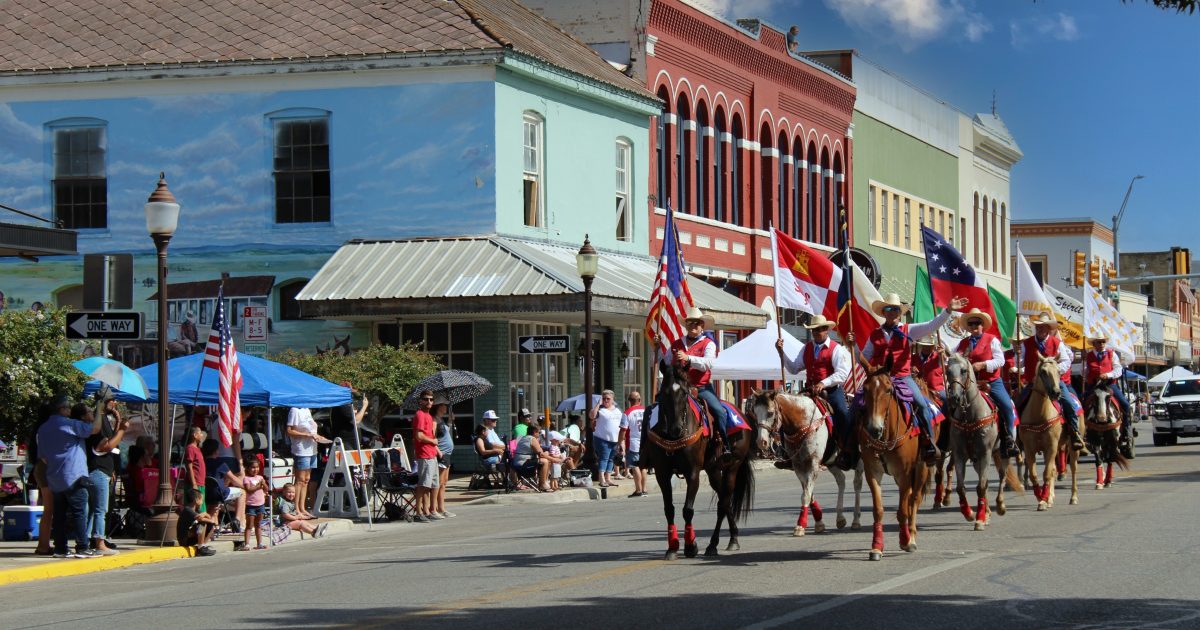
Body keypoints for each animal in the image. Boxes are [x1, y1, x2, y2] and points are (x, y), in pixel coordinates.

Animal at [643, 357, 753, 559]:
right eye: (663, 393)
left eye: (684, 393)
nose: (676, 429)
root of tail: (741, 412)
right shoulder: (662, 474)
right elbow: (669, 509)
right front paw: (672, 547)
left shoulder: (692, 472)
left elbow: (688, 509)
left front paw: (690, 546)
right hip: (713, 470)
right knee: (725, 501)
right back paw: (731, 538)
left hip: (732, 467)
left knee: (723, 503)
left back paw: (714, 544)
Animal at [748, 388, 864, 535]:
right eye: (754, 412)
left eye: (770, 413)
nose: (761, 442)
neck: (803, 422)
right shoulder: (799, 465)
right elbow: (808, 492)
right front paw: (819, 522)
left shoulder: (813, 463)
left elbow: (806, 495)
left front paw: (800, 525)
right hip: (831, 462)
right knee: (841, 480)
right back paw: (840, 518)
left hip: (859, 460)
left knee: (857, 484)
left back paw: (856, 520)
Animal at [859, 362, 931, 559]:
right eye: (865, 389)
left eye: (888, 390)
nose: (874, 428)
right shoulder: (872, 472)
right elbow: (878, 510)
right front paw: (876, 547)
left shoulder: (904, 473)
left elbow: (902, 510)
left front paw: (905, 541)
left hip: (922, 468)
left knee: (914, 499)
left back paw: (911, 535)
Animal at [945, 350, 1022, 528]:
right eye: (948, 371)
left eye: (964, 370)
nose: (955, 398)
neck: (969, 415)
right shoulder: (960, 455)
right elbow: (961, 487)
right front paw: (969, 513)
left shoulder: (985, 453)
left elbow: (981, 486)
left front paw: (979, 519)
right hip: (977, 460)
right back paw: (987, 512)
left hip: (1003, 453)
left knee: (1001, 477)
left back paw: (999, 506)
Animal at [1017, 355, 1065, 508]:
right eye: (1043, 372)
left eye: (1059, 371)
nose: (1056, 393)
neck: (1039, 415)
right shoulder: (1029, 449)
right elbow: (1033, 474)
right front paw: (1040, 497)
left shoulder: (1051, 447)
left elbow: (1047, 473)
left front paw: (1045, 498)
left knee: (1052, 470)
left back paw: (1050, 496)